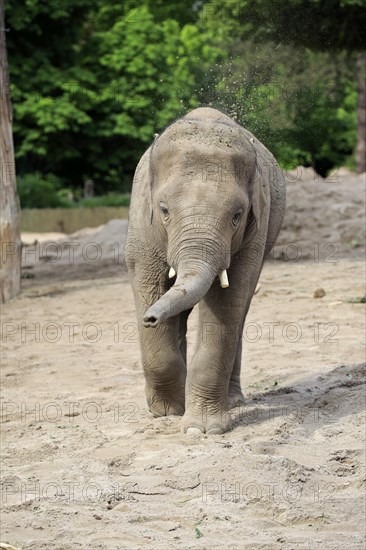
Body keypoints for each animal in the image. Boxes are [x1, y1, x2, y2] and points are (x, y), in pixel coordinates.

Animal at [126, 108, 286, 436]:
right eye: (164, 210)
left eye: (237, 215)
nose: (149, 317)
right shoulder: (141, 224)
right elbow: (146, 280)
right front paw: (167, 412)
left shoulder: (256, 231)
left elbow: (230, 298)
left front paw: (200, 429)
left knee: (240, 312)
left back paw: (233, 402)